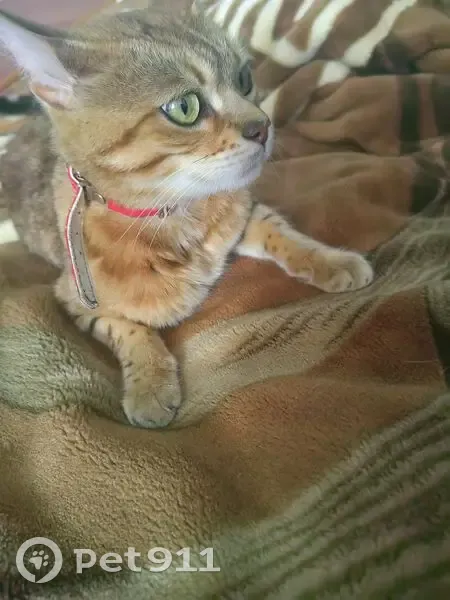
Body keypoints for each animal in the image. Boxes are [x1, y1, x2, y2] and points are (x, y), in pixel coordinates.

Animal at [0, 7, 373, 428]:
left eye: (244, 78)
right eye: (185, 108)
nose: (263, 126)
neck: (179, 214)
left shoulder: (242, 214)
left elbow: (282, 233)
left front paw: (331, 260)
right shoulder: (74, 297)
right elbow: (126, 328)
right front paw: (149, 384)